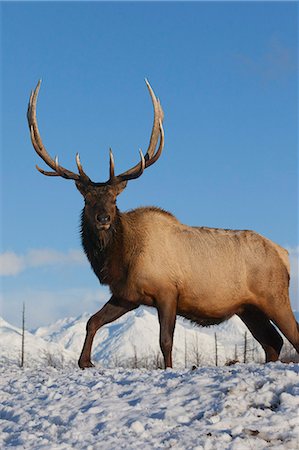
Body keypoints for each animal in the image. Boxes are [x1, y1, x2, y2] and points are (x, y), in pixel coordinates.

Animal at [27, 81, 298, 370]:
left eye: (114, 200)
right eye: (87, 200)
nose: (103, 219)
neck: (121, 258)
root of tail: (284, 255)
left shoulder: (167, 291)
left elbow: (165, 341)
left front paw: (168, 368)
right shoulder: (126, 295)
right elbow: (92, 321)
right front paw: (85, 361)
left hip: (275, 297)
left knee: (291, 336)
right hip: (249, 309)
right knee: (273, 342)